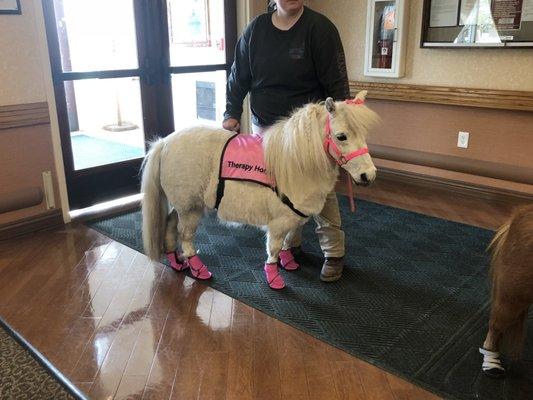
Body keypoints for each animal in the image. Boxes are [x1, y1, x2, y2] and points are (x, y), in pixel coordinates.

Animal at [141, 92, 378, 290]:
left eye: (364, 134)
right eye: (341, 136)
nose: (368, 175)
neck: (294, 163)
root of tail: (165, 142)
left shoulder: (292, 219)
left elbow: (287, 243)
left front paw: (288, 262)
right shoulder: (279, 223)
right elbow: (274, 249)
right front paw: (274, 279)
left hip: (183, 206)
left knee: (170, 225)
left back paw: (175, 261)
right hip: (190, 208)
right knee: (186, 237)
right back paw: (198, 269)